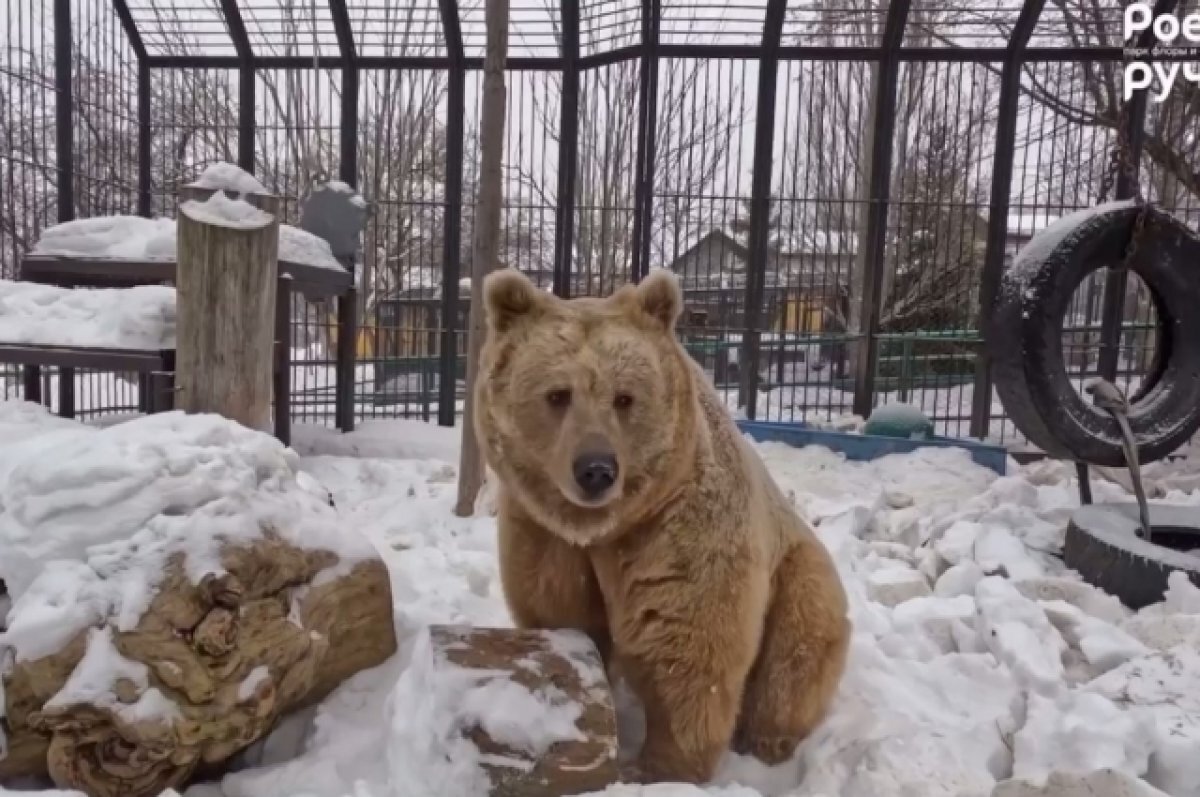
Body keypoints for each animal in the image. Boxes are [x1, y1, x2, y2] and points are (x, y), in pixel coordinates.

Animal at [472, 267, 849, 782]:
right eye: (557, 394)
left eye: (624, 397)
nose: (596, 469)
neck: (604, 527)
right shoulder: (541, 533)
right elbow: (557, 610)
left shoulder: (675, 525)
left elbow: (687, 643)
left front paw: (658, 767)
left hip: (799, 568)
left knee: (798, 647)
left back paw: (768, 738)